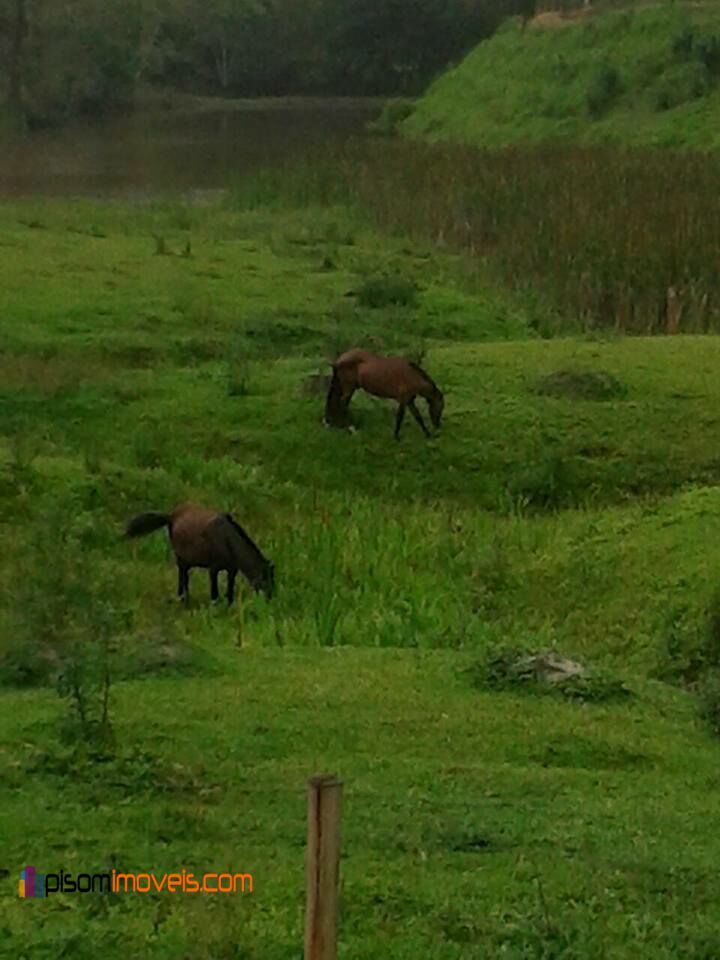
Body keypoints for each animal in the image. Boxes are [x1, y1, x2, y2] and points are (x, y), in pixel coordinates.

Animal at [124, 502, 272, 600]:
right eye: (265, 579)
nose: (270, 598)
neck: (227, 540)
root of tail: (172, 516)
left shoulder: (232, 570)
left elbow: (229, 592)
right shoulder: (213, 569)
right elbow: (214, 594)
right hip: (181, 558)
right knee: (182, 575)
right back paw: (183, 598)